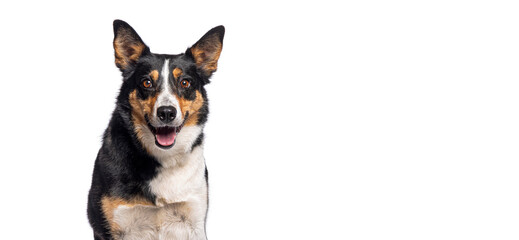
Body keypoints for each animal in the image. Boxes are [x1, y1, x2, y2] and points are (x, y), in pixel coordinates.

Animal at [88, 20, 225, 240]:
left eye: (185, 82)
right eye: (147, 82)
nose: (166, 113)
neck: (162, 158)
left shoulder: (195, 221)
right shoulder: (108, 228)